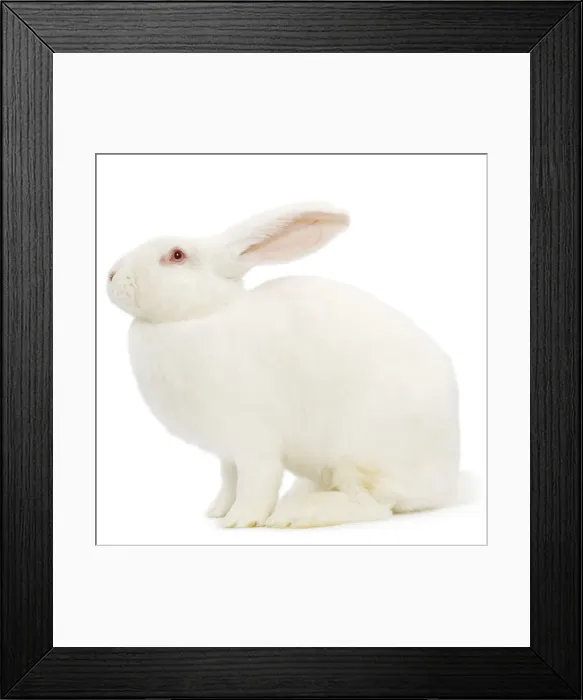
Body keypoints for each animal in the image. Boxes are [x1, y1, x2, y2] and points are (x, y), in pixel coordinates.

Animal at [107, 203, 462, 529]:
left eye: (176, 255)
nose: (110, 276)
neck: (203, 314)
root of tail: (447, 482)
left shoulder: (253, 439)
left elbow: (256, 482)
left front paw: (240, 520)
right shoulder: (227, 452)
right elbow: (229, 480)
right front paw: (217, 511)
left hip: (358, 455)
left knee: (371, 504)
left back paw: (296, 514)